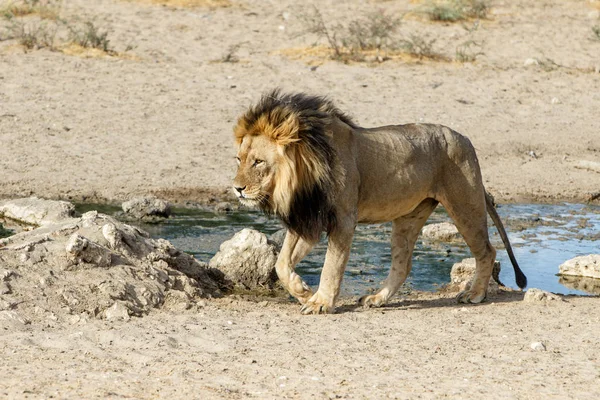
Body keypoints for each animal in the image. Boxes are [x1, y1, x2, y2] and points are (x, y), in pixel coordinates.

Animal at [232, 90, 528, 316]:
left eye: (258, 162)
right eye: (239, 159)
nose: (237, 189)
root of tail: (464, 138)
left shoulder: (343, 220)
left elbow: (331, 266)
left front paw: (320, 303)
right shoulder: (307, 217)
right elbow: (281, 263)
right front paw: (303, 291)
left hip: (464, 204)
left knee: (487, 251)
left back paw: (475, 294)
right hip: (408, 217)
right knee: (403, 264)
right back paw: (377, 299)